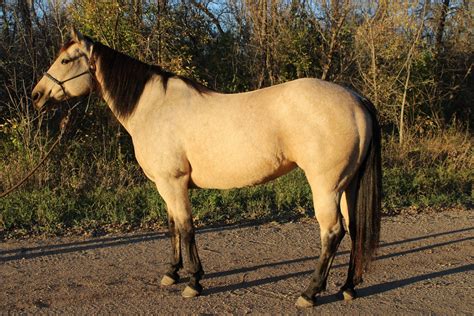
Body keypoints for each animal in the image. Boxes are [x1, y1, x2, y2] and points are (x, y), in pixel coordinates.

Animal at [32, 27, 382, 308]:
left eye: (66, 61)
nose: (37, 95)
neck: (153, 108)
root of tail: (356, 99)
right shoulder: (165, 186)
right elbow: (172, 226)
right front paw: (171, 274)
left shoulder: (173, 182)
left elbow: (186, 228)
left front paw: (193, 282)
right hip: (348, 185)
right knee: (354, 230)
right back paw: (347, 288)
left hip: (326, 186)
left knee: (332, 233)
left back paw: (309, 293)